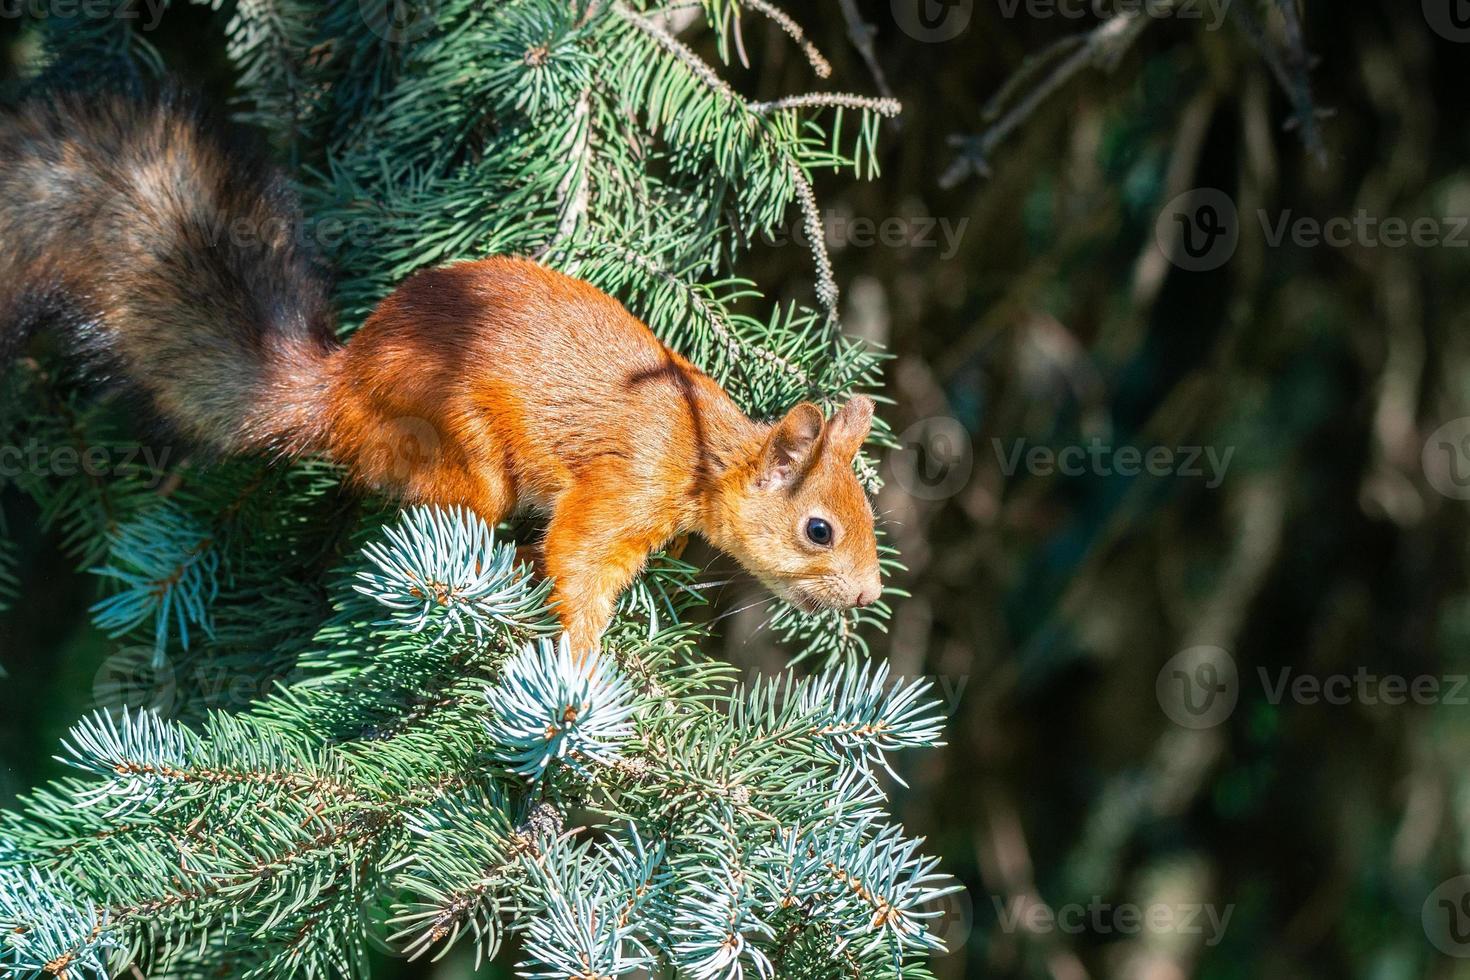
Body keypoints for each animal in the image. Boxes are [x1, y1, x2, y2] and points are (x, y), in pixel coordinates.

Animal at [2, 94, 882, 658]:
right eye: (819, 530)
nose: (870, 595)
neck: (702, 451)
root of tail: (340, 389)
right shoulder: (622, 488)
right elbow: (577, 560)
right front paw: (582, 671)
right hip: (453, 437)